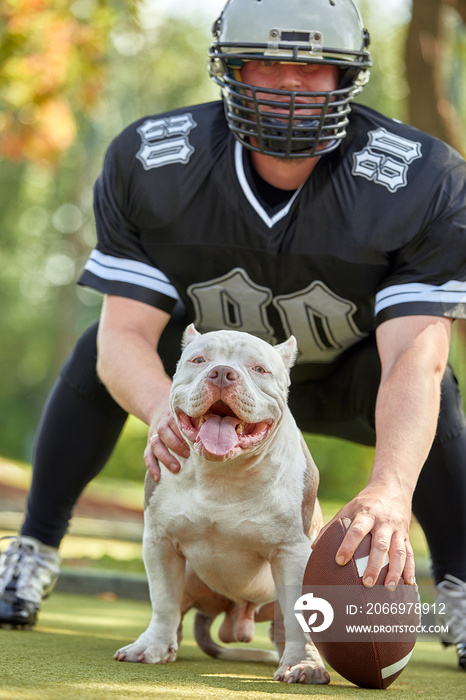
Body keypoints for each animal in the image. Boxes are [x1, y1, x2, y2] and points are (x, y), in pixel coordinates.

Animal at [114, 326, 330, 684]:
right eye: (199, 360)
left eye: (259, 369)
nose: (222, 373)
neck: (223, 474)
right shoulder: (159, 541)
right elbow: (163, 600)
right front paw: (151, 646)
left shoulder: (293, 553)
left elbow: (300, 615)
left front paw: (304, 663)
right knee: (178, 611)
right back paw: (170, 644)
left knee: (284, 625)